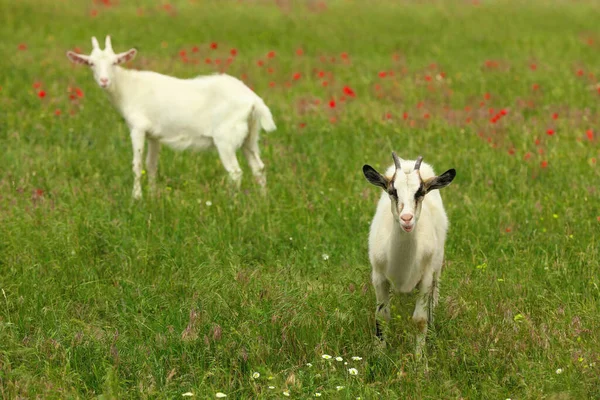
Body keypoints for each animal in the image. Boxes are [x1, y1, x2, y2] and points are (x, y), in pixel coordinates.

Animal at [67, 35, 278, 198]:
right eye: (91, 63)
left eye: (115, 62)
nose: (104, 81)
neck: (128, 87)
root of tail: (253, 100)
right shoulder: (153, 135)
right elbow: (151, 165)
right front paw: (152, 196)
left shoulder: (138, 128)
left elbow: (137, 164)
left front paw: (136, 198)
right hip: (250, 135)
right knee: (258, 167)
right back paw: (262, 201)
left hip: (225, 137)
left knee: (235, 172)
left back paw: (231, 203)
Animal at [360, 152, 454, 358]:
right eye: (392, 191)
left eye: (420, 192)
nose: (407, 218)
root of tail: (409, 162)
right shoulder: (379, 277)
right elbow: (382, 317)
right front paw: (379, 355)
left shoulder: (426, 278)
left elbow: (420, 320)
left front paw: (419, 359)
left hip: (436, 270)